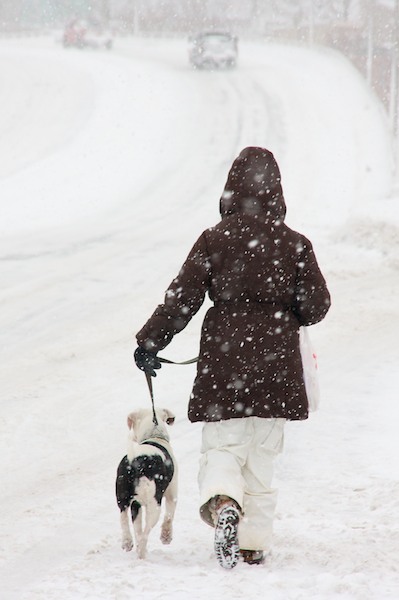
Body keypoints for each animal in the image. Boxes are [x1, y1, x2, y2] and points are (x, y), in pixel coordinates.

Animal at [115, 406, 178, 560]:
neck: (154, 436)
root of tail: (136, 460)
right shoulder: (172, 494)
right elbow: (169, 516)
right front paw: (166, 537)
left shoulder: (136, 506)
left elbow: (137, 528)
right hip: (154, 505)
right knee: (145, 534)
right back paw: (142, 554)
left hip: (122, 497)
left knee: (124, 520)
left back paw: (127, 542)